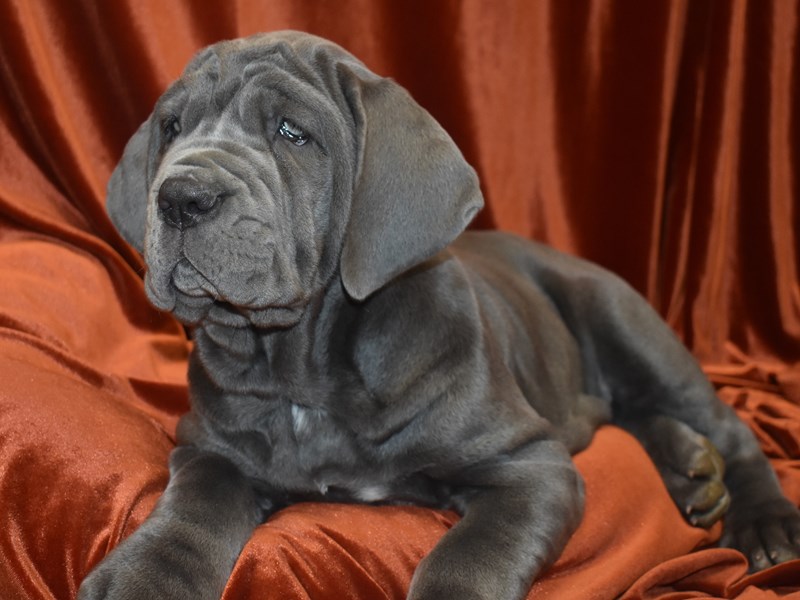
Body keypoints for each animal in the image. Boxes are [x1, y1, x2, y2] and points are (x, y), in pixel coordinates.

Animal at [79, 31, 800, 600]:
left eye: (292, 133)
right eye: (173, 127)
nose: (181, 196)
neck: (304, 372)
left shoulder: (529, 466)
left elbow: (467, 559)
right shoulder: (209, 449)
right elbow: (189, 512)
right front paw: (143, 579)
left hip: (626, 324)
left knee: (724, 425)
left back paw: (762, 521)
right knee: (624, 414)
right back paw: (689, 469)